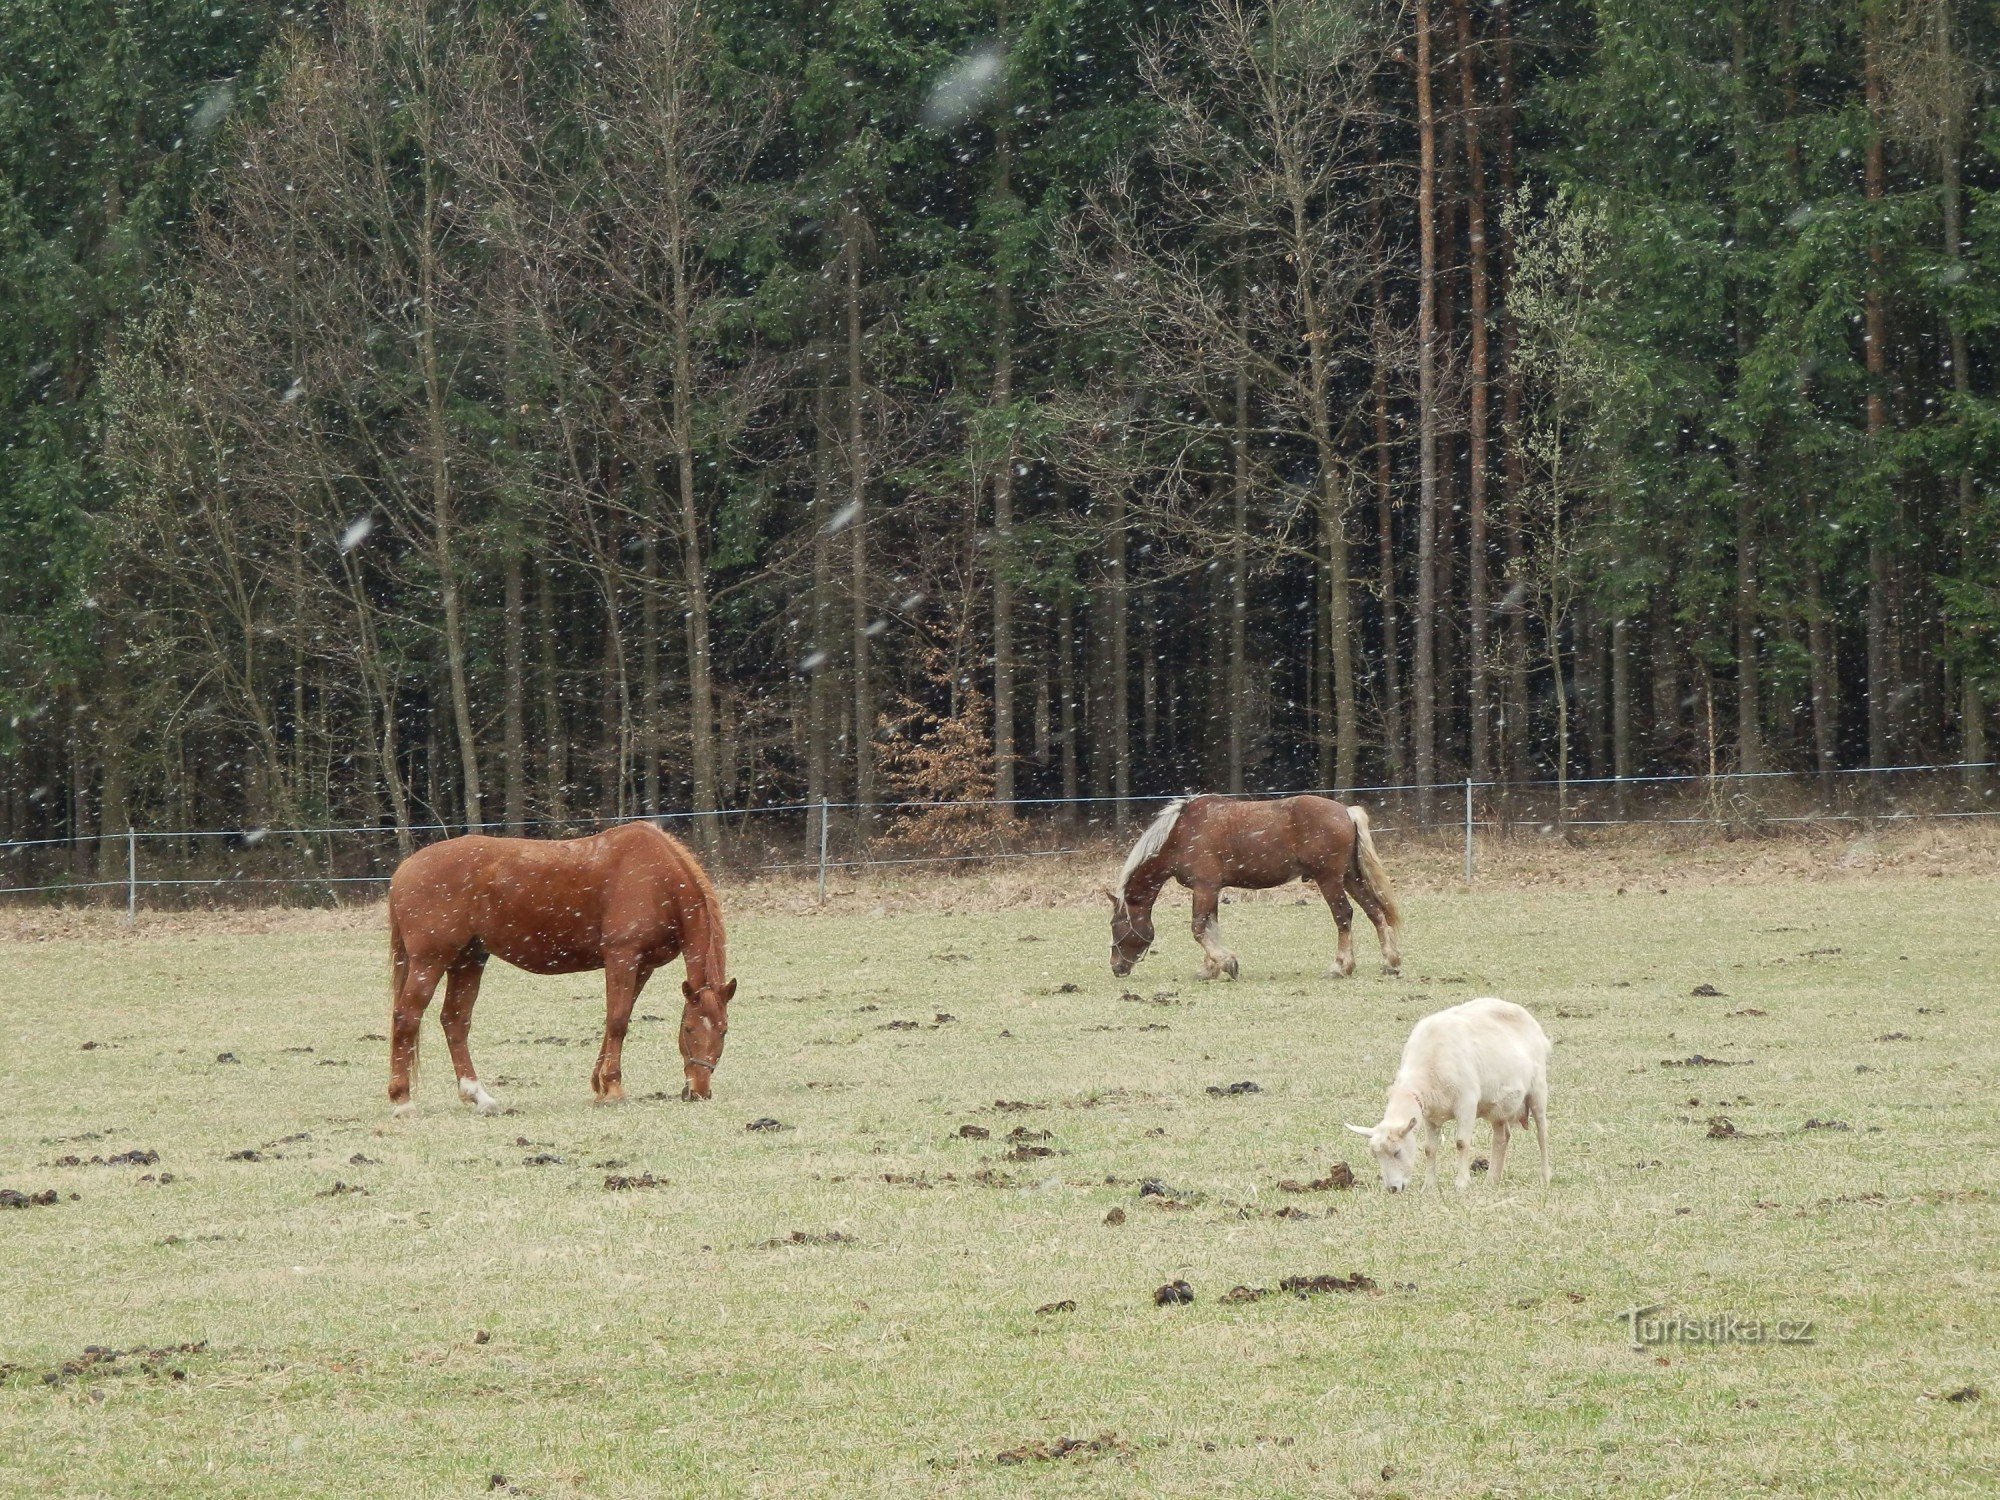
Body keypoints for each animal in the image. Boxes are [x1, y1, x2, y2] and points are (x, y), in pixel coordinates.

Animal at [382, 824, 736, 1120]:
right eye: (689, 1029)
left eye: (723, 1031)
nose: (699, 1090)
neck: (655, 877)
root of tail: (403, 870)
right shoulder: (622, 957)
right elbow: (618, 1021)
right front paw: (613, 1089)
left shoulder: (642, 966)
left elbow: (615, 1020)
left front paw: (600, 1086)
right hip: (430, 961)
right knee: (407, 1017)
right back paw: (403, 1101)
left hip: (468, 960)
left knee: (455, 1021)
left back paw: (479, 1097)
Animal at [1112, 800, 1408, 988]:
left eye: (1117, 924)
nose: (1116, 967)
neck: (1182, 833)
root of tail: (1347, 811)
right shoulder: (1212, 890)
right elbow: (1211, 928)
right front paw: (1211, 968)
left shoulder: (1204, 887)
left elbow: (1198, 928)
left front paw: (1226, 963)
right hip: (1350, 878)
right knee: (1374, 911)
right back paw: (1390, 962)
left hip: (1330, 881)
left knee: (1344, 916)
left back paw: (1340, 967)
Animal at [1352, 1000, 1552, 1200]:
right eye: (1375, 1156)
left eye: (1397, 1152)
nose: (1392, 1189)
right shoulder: (1430, 1115)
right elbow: (1429, 1149)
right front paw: (1428, 1186)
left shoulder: (1467, 1102)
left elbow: (1461, 1142)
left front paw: (1461, 1184)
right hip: (1499, 1107)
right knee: (1501, 1137)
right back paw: (1492, 1180)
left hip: (1538, 1088)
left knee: (1541, 1132)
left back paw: (1545, 1176)